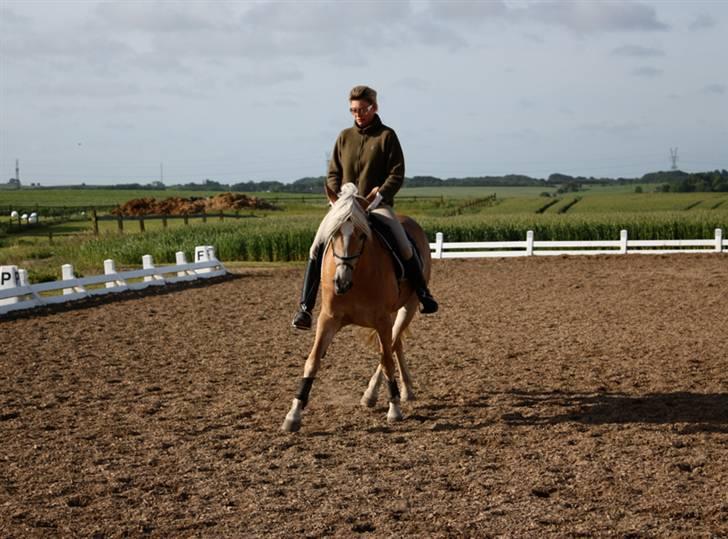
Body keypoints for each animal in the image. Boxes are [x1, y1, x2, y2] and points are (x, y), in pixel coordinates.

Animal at [282, 184, 432, 432]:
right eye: (334, 233)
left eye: (362, 235)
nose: (341, 282)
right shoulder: (328, 318)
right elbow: (312, 361)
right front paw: (293, 414)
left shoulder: (382, 319)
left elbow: (386, 360)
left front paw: (394, 409)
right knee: (396, 344)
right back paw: (402, 391)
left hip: (407, 308)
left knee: (392, 345)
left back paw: (380, 393)